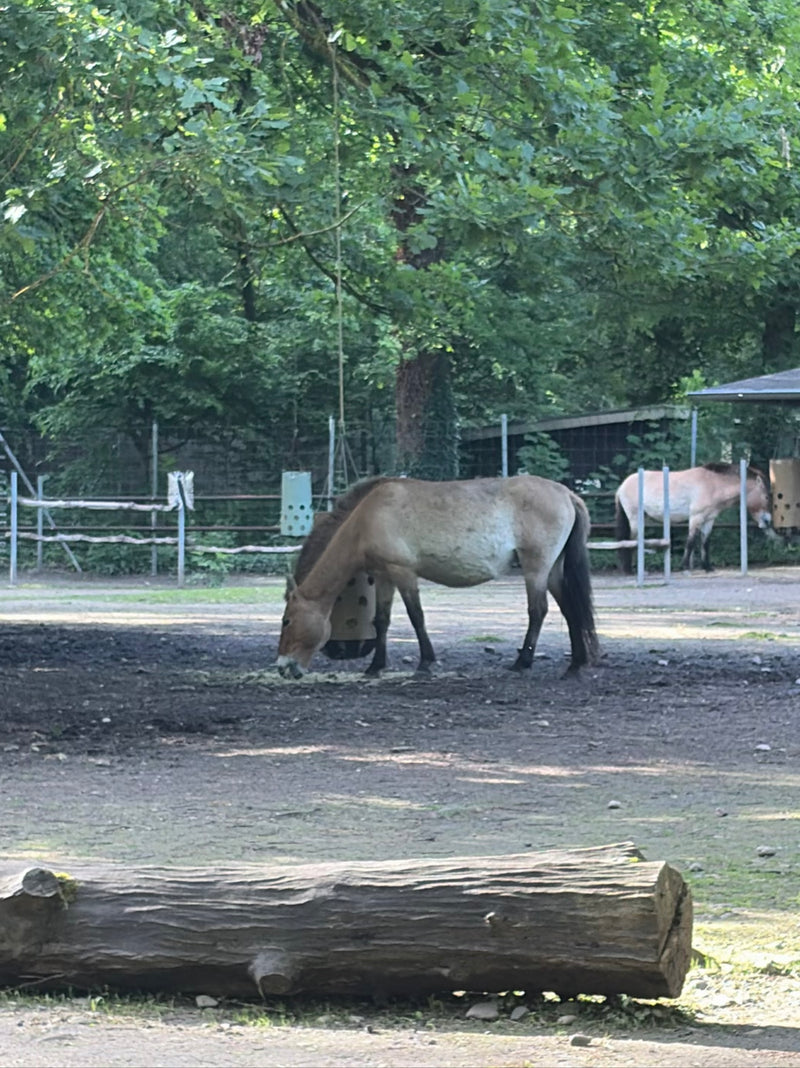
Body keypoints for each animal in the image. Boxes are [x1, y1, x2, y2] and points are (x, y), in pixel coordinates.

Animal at [277, 474, 599, 680]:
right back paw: (575, 665)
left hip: (536, 569)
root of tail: (566, 494)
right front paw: (375, 667)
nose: (282, 666)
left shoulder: (403, 573)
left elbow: (416, 617)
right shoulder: (383, 576)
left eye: (287, 620)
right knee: (570, 610)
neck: (367, 517)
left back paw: (522, 662)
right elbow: (381, 621)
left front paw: (426, 663)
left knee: (538, 611)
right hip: (553, 571)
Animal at [614, 462, 772, 574]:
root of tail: (622, 486)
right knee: (631, 540)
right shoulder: (696, 518)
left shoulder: (709, 520)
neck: (712, 485)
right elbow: (690, 541)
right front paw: (684, 566)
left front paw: (707, 567)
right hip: (635, 519)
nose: (768, 521)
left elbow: (705, 542)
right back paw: (631, 569)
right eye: (765, 496)